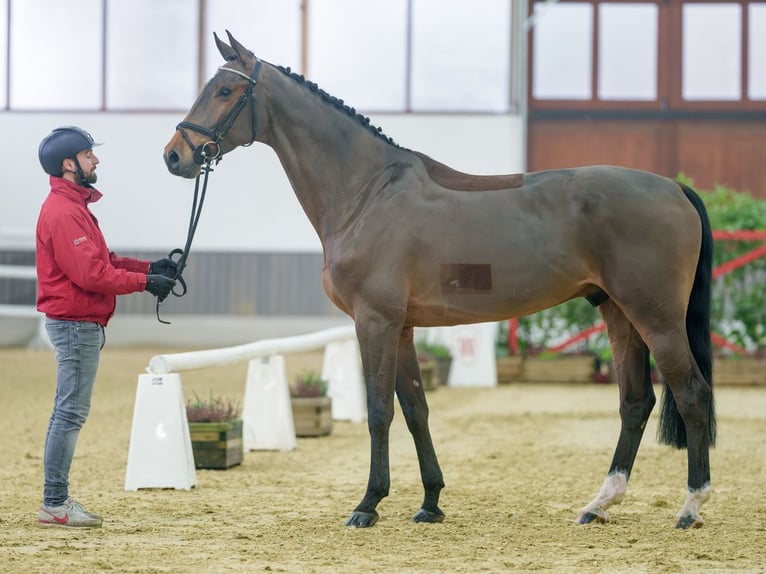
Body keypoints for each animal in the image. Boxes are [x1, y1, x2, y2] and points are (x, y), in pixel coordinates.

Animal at [164, 29, 720, 528]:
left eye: (225, 90)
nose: (174, 155)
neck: (366, 192)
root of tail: (675, 188)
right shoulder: (403, 327)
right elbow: (415, 409)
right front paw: (430, 502)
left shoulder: (375, 322)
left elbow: (378, 411)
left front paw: (368, 504)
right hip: (618, 312)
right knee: (636, 402)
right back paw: (599, 505)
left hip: (656, 319)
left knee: (692, 394)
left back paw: (691, 507)